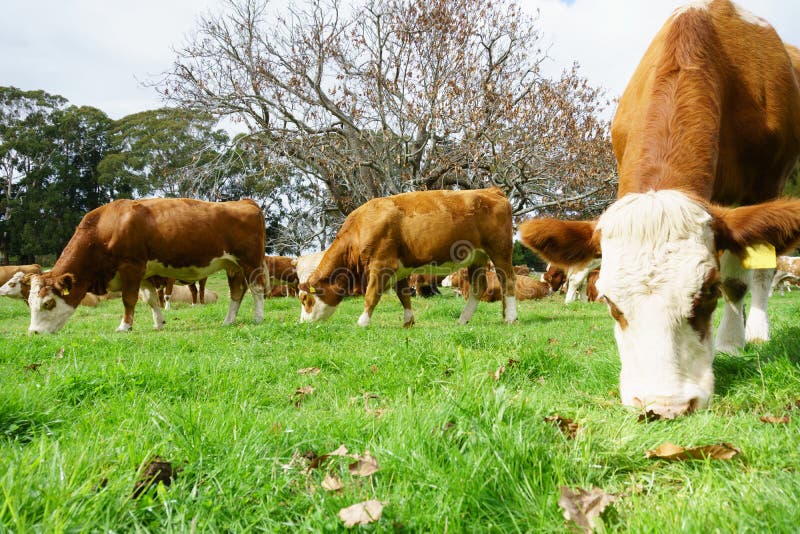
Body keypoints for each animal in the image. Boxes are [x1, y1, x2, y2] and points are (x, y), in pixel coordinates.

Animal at [28, 198, 269, 334]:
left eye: (48, 303)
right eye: (29, 303)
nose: (33, 333)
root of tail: (245, 202)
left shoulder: (131, 267)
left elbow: (129, 300)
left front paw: (125, 326)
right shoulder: (143, 274)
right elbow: (151, 299)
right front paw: (159, 323)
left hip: (251, 263)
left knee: (256, 290)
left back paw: (258, 318)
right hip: (232, 266)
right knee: (236, 293)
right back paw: (228, 321)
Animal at [298, 188, 517, 327]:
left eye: (305, 299)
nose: (302, 324)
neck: (360, 228)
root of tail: (491, 190)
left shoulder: (382, 264)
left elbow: (371, 295)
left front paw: (362, 322)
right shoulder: (400, 268)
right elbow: (403, 295)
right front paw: (408, 322)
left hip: (500, 250)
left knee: (508, 281)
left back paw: (510, 318)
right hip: (477, 257)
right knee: (479, 287)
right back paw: (463, 320)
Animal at [519, 0, 800, 418]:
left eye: (708, 291)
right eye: (609, 300)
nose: (665, 405)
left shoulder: (766, 183)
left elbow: (744, 277)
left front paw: (733, 342)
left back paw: (752, 332)